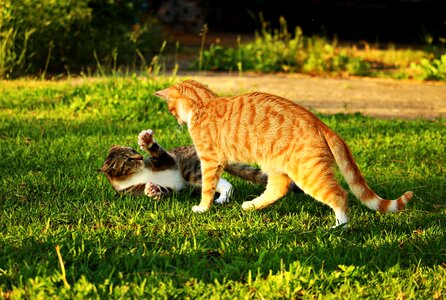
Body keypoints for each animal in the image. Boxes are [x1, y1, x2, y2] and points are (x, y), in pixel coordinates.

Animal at [101, 129, 302, 202]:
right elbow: (164, 191)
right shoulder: (132, 190)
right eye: (128, 159)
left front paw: (147, 140)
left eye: (133, 150)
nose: (140, 158)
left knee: (225, 183)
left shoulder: (166, 160)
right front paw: (152, 190)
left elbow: (159, 152)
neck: (136, 175)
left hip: (191, 171)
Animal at [155, 79, 412, 227]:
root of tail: (320, 122)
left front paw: (202, 208)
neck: (204, 104)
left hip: (308, 173)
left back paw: (340, 225)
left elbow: (208, 188)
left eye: (170, 108)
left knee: (339, 195)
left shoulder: (209, 160)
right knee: (279, 189)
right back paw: (252, 205)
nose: (177, 121)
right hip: (275, 165)